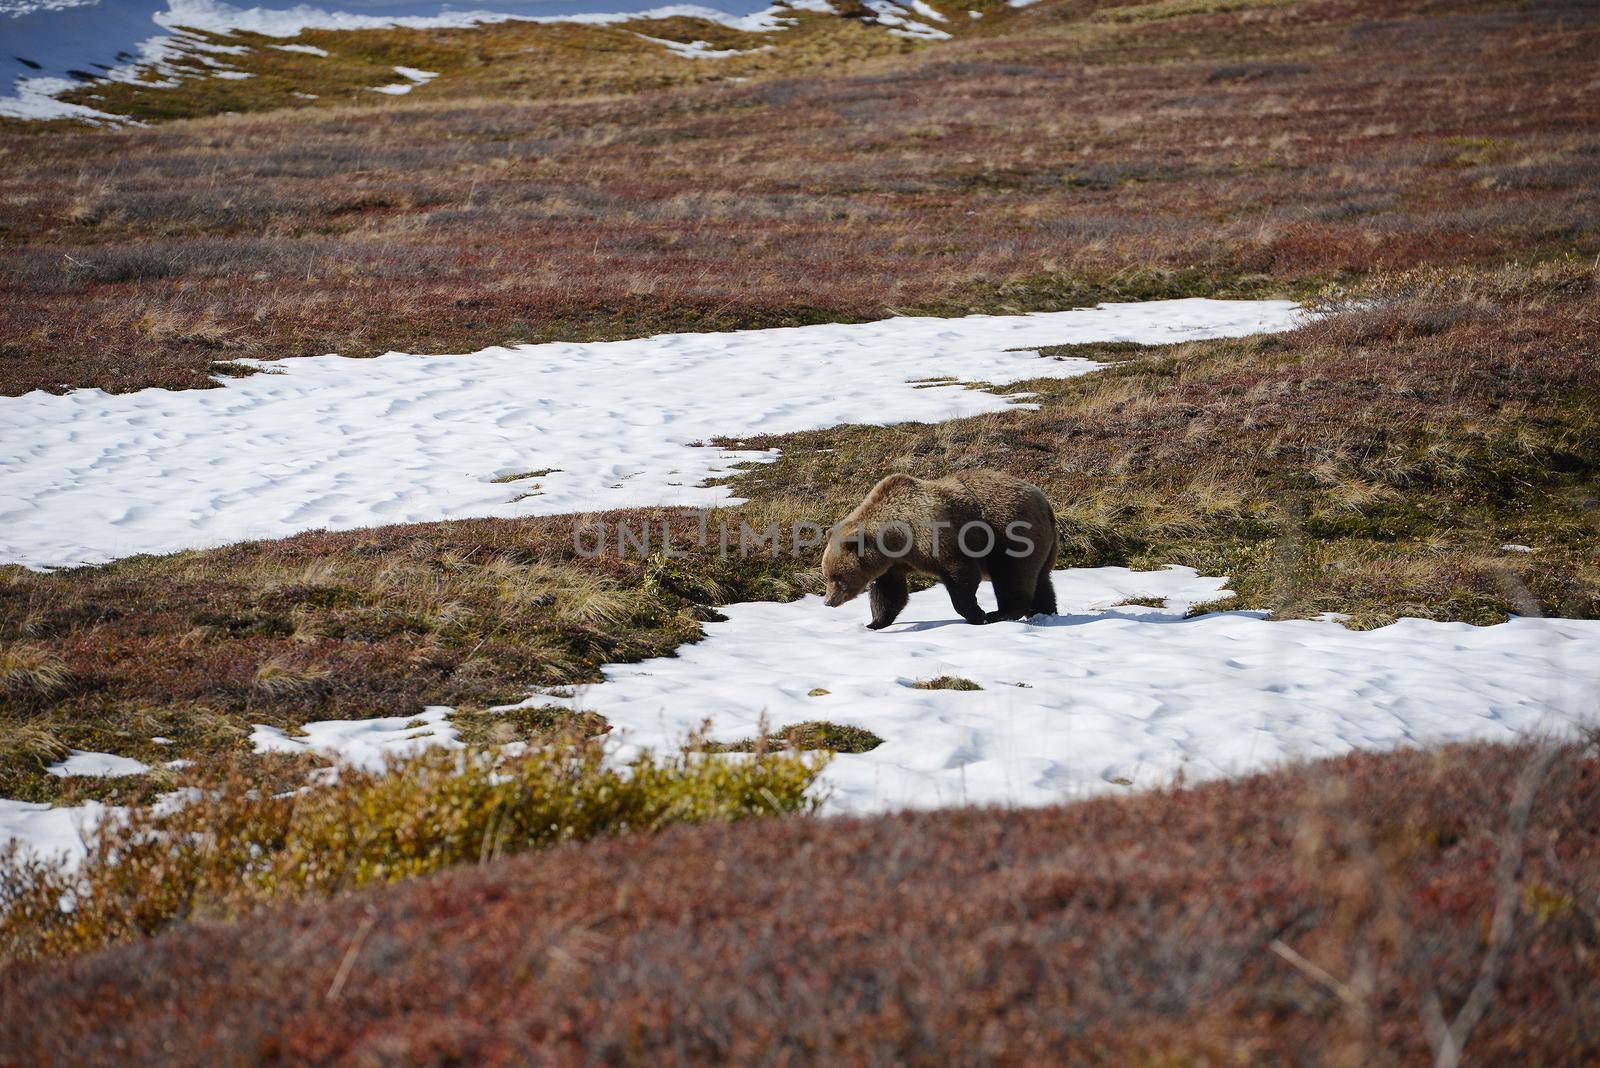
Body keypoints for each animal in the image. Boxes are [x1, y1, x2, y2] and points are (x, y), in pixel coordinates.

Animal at [825, 470, 1062, 629]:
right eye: (827, 575)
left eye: (837, 577)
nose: (828, 601)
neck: (897, 539)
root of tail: (1044, 501)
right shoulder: (893, 564)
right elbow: (889, 593)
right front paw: (874, 623)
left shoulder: (936, 536)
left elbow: (961, 576)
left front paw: (978, 614)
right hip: (1045, 544)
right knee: (1041, 579)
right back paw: (1045, 612)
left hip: (1011, 532)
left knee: (1011, 574)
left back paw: (1000, 613)